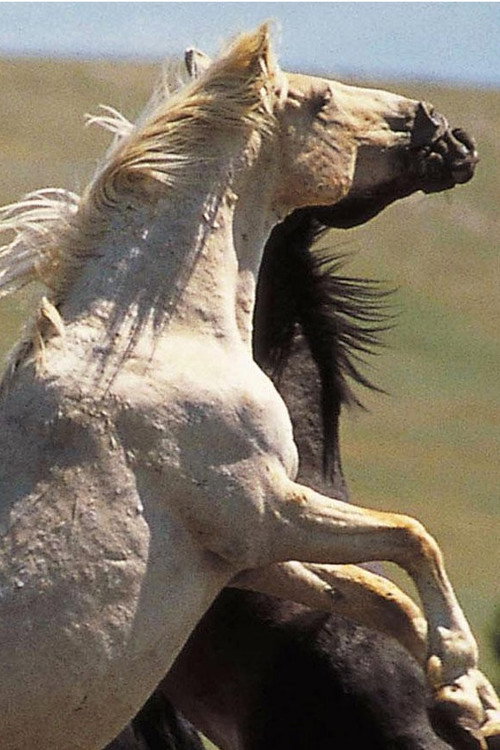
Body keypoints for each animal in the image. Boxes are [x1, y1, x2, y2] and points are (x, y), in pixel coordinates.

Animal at [0, 24, 498, 749]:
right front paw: (460, 675)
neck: (157, 345)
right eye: (321, 101)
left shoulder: (247, 556)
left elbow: (378, 593)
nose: (445, 132)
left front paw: (468, 700)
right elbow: (411, 536)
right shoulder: (264, 511)